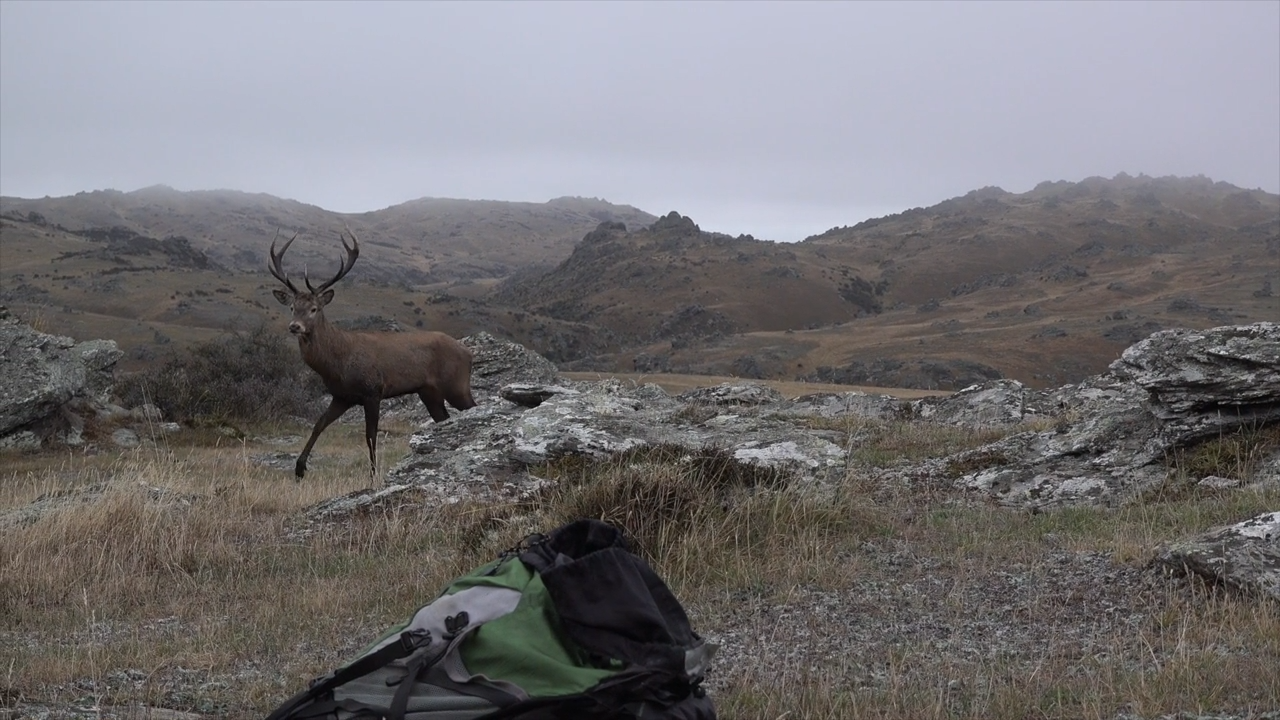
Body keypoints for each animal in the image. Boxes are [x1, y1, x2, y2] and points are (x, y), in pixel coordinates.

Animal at [269, 226, 476, 479]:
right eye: (291, 307)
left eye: (314, 309)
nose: (294, 326)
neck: (338, 363)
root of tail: (468, 352)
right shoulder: (342, 396)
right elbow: (319, 424)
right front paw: (299, 468)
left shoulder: (372, 390)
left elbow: (370, 435)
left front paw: (373, 474)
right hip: (429, 391)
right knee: (443, 418)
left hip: (456, 384)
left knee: (472, 408)